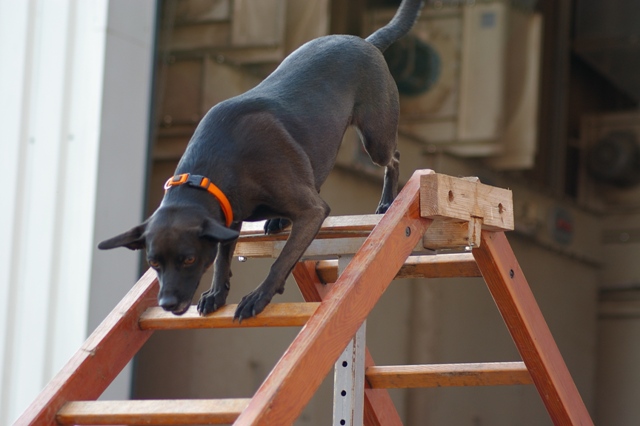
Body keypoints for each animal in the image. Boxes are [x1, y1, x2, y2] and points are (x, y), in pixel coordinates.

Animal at [98, 0, 424, 321]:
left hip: (375, 138)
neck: (209, 171)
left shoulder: (312, 212)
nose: (167, 303)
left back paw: (386, 201)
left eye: (188, 259)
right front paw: (216, 293)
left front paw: (258, 296)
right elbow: (222, 258)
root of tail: (366, 42)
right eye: (154, 262)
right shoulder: (229, 214)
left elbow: (281, 260)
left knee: (393, 158)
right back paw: (280, 218)